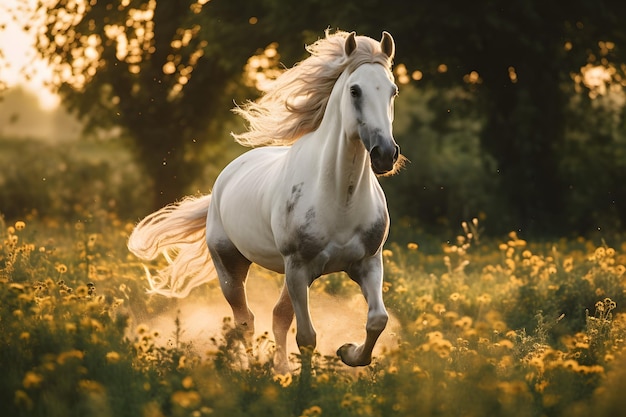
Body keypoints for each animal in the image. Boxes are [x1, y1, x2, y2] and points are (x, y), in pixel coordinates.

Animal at [128, 30, 400, 372]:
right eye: (355, 90)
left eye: (392, 90)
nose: (385, 154)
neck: (341, 198)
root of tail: (225, 177)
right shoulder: (298, 266)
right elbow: (306, 338)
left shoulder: (367, 263)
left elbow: (377, 319)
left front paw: (347, 352)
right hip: (231, 267)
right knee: (246, 320)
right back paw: (252, 367)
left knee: (277, 316)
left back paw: (279, 368)